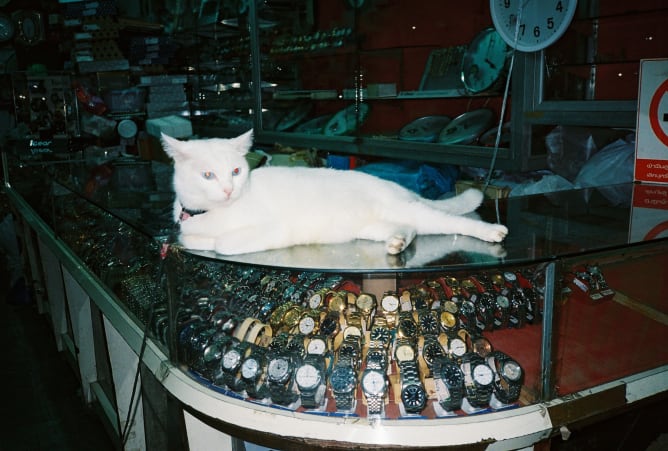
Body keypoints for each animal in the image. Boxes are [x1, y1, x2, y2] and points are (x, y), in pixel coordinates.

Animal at [160, 132, 506, 258]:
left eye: (235, 171)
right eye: (208, 175)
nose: (229, 189)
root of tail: (399, 188)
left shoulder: (273, 228)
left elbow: (223, 244)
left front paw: (219, 239)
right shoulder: (187, 231)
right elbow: (194, 240)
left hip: (413, 211)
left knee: (453, 222)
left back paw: (492, 232)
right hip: (372, 227)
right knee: (410, 229)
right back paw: (397, 244)